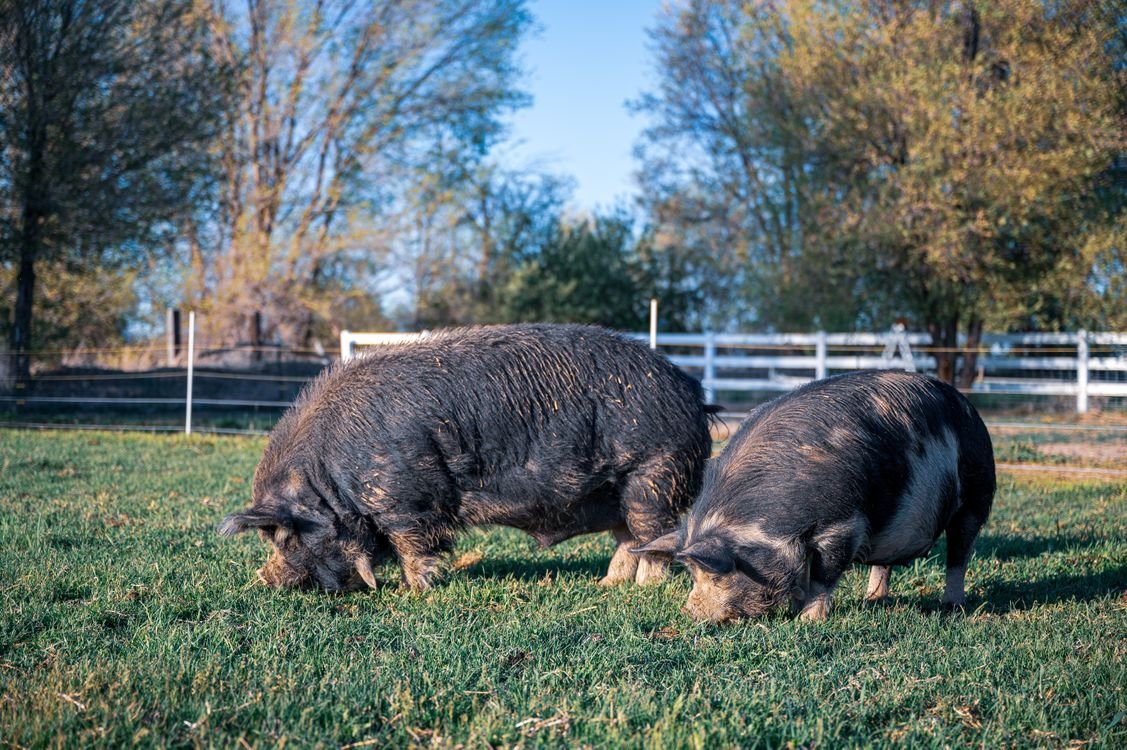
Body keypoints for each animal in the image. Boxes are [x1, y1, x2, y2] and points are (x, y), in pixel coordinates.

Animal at [218, 323, 714, 592]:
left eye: (285, 537)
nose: (264, 579)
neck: (331, 480)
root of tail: (693, 391)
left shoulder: (406, 498)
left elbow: (413, 545)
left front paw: (415, 591)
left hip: (652, 474)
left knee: (653, 537)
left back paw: (641, 589)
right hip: (617, 491)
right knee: (626, 539)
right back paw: (606, 585)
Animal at [634, 370, 995, 622]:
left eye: (714, 575)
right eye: (691, 575)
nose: (689, 614)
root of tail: (970, 409)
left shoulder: (843, 525)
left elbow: (823, 575)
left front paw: (808, 620)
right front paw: (797, 609)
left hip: (977, 496)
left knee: (959, 554)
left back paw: (951, 606)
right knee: (884, 564)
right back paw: (873, 600)